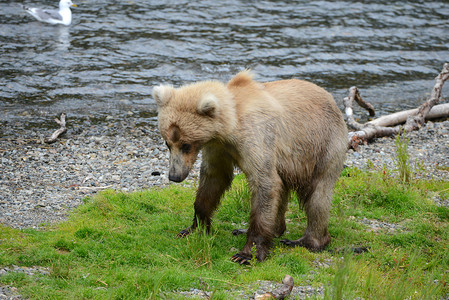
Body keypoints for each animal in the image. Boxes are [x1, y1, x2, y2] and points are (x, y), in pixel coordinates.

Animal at [153, 71, 346, 264]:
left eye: (186, 145)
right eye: (168, 143)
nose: (174, 176)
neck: (230, 126)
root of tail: (332, 101)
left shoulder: (256, 137)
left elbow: (264, 183)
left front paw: (246, 254)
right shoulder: (219, 147)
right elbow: (213, 179)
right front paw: (193, 228)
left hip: (322, 147)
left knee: (318, 195)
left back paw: (306, 241)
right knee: (283, 191)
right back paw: (259, 229)